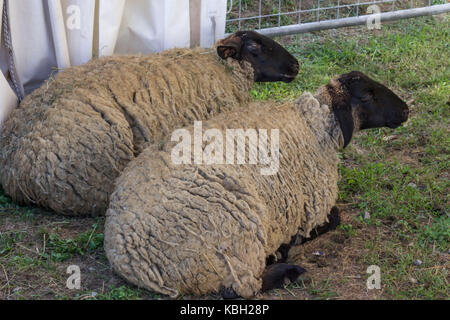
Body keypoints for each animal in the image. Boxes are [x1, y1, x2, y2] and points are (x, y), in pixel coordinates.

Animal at [103, 71, 410, 298]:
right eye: (367, 95)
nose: (406, 110)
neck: (313, 125)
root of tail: (131, 255)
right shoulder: (311, 208)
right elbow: (334, 218)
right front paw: (298, 240)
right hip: (234, 236)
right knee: (240, 289)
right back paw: (287, 269)